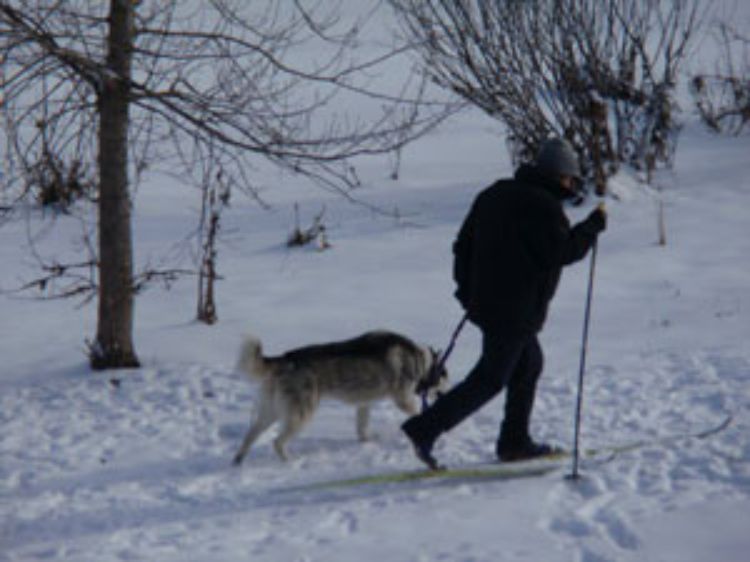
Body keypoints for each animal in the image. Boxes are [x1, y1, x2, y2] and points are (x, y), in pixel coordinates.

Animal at [232, 328, 450, 464]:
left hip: (271, 410)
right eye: (447, 377)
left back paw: (238, 459)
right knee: (277, 442)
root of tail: (285, 358)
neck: (421, 361)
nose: (447, 392)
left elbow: (362, 426)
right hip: (301, 414)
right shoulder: (402, 399)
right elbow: (416, 411)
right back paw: (289, 461)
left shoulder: (364, 403)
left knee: (251, 434)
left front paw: (367, 441)